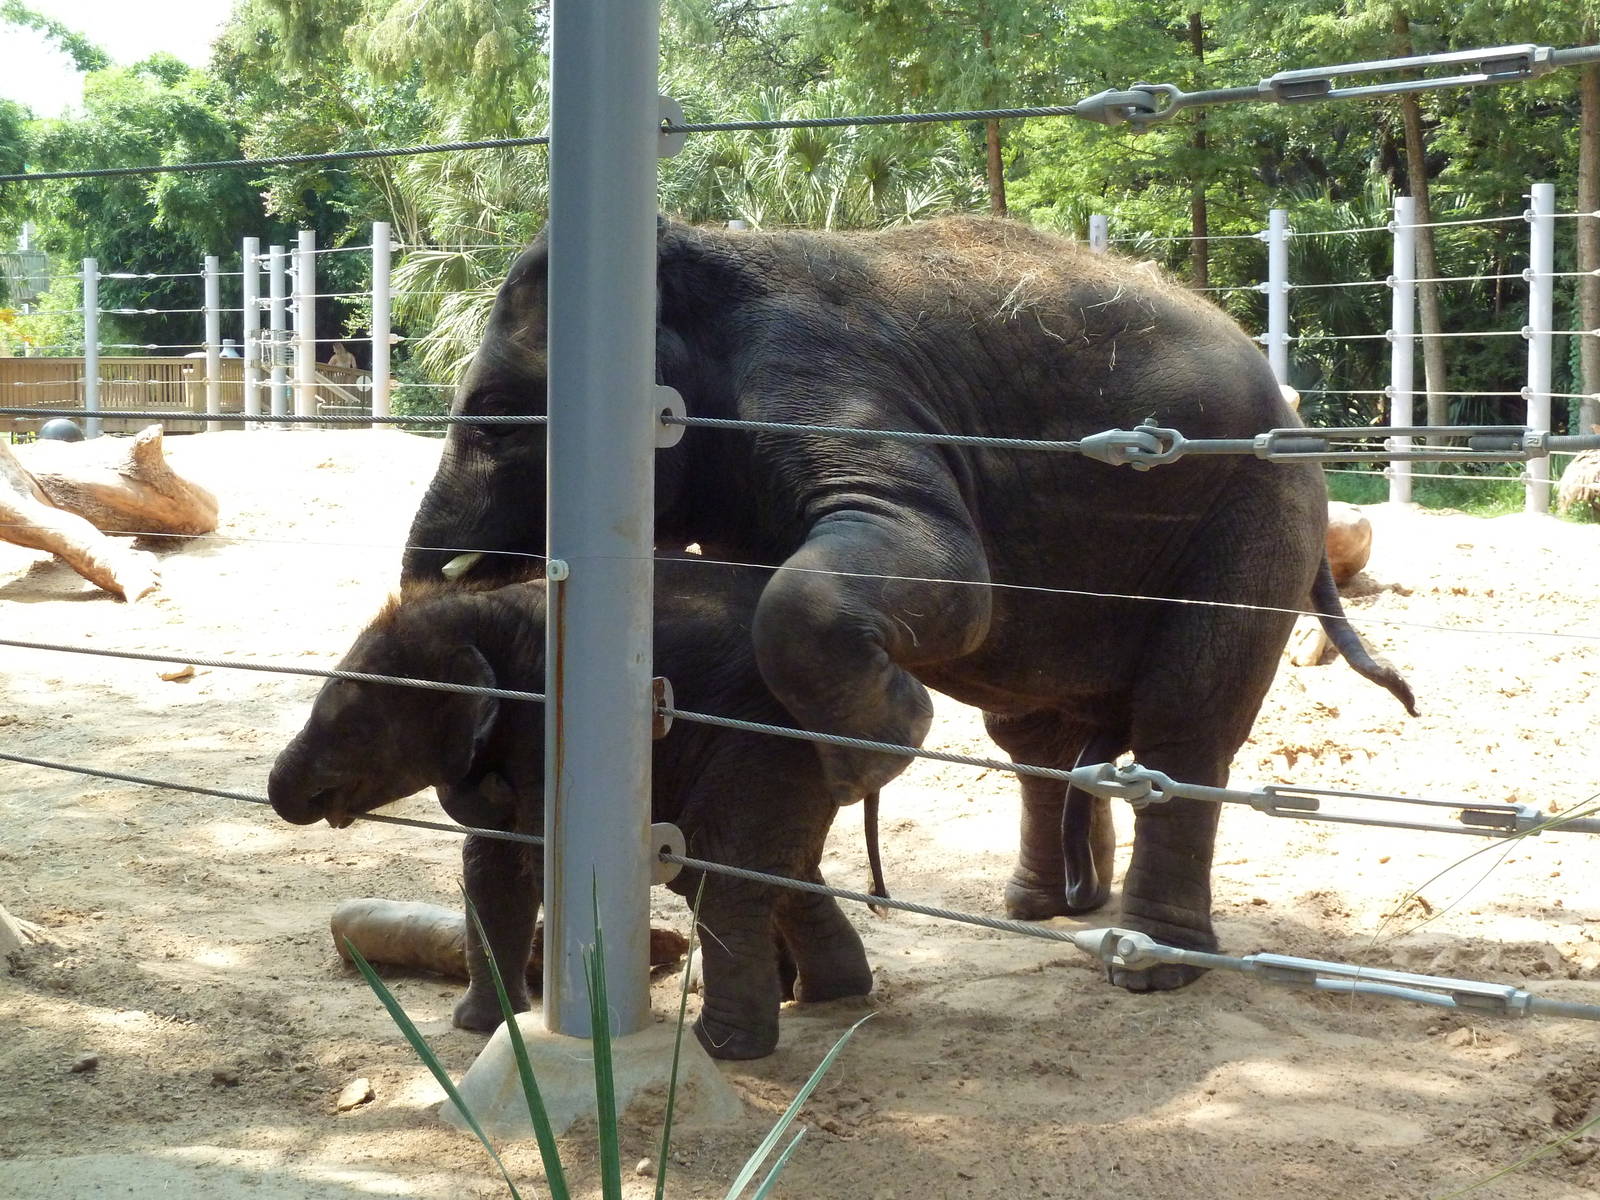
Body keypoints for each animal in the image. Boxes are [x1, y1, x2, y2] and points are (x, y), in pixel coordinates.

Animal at [268, 560, 886, 1060]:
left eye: (353, 729)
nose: (283, 793)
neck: (482, 611)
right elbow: (490, 862)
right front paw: (483, 1027)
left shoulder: (549, 725)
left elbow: (541, 859)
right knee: (781, 868)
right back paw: (835, 994)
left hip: (766, 739)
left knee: (717, 870)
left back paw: (725, 1049)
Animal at [402, 214, 1416, 991]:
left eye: (496, 416)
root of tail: (1289, 407)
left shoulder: (819, 382)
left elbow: (949, 574)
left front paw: (877, 750)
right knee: (1036, 735)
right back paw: (1044, 906)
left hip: (1253, 511)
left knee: (1184, 721)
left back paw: (1152, 964)